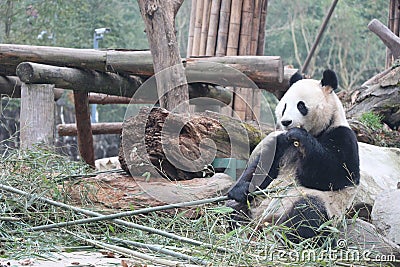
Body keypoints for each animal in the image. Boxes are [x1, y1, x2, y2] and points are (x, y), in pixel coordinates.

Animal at [227, 69, 360, 245]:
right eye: (284, 106)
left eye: (301, 105)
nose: (286, 122)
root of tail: (262, 223)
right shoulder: (282, 143)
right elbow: (263, 168)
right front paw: (241, 189)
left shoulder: (342, 137)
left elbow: (334, 173)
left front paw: (300, 136)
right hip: (254, 205)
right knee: (229, 209)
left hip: (323, 208)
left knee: (307, 214)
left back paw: (286, 237)